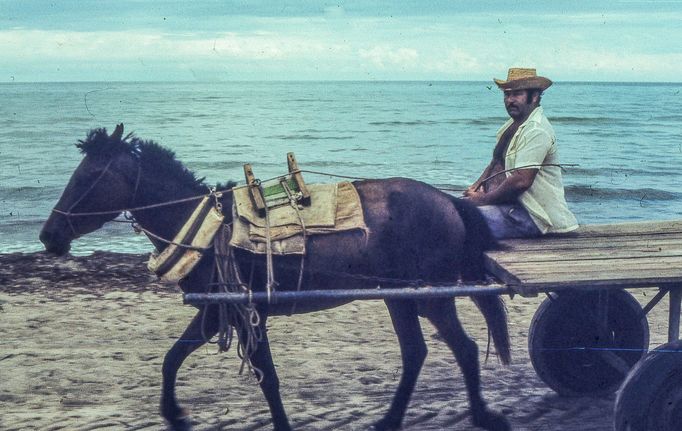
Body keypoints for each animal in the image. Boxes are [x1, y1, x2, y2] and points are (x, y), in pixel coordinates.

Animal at [41, 125, 510, 431]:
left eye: (88, 176)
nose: (49, 235)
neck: (206, 229)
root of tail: (448, 201)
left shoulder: (240, 313)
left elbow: (265, 378)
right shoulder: (220, 311)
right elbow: (174, 359)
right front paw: (175, 415)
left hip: (431, 296)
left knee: (463, 349)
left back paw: (482, 415)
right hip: (399, 297)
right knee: (416, 352)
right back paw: (391, 420)